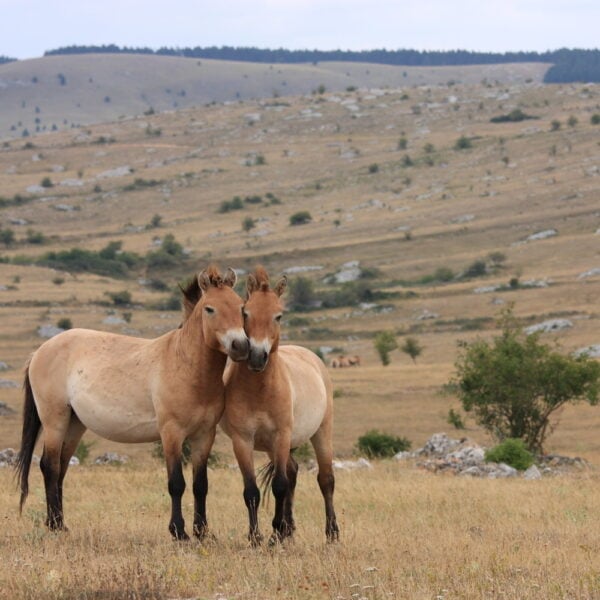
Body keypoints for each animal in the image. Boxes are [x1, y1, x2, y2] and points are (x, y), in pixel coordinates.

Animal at [15, 266, 248, 540]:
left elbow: (201, 485)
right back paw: (54, 526)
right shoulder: (171, 433)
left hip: (74, 424)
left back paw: (61, 524)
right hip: (55, 421)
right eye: (209, 309)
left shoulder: (204, 435)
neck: (185, 365)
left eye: (241, 307)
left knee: (60, 468)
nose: (241, 346)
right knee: (49, 466)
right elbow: (176, 483)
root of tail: (39, 351)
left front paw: (202, 532)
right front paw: (179, 532)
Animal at [221, 266, 342, 544]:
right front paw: (257, 536)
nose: (256, 356)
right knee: (293, 471)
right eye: (245, 312)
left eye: (279, 315)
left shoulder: (281, 435)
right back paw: (289, 530)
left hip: (322, 432)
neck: (261, 390)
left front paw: (275, 530)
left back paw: (331, 533)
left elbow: (279, 485)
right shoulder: (243, 440)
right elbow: (252, 490)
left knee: (325, 479)